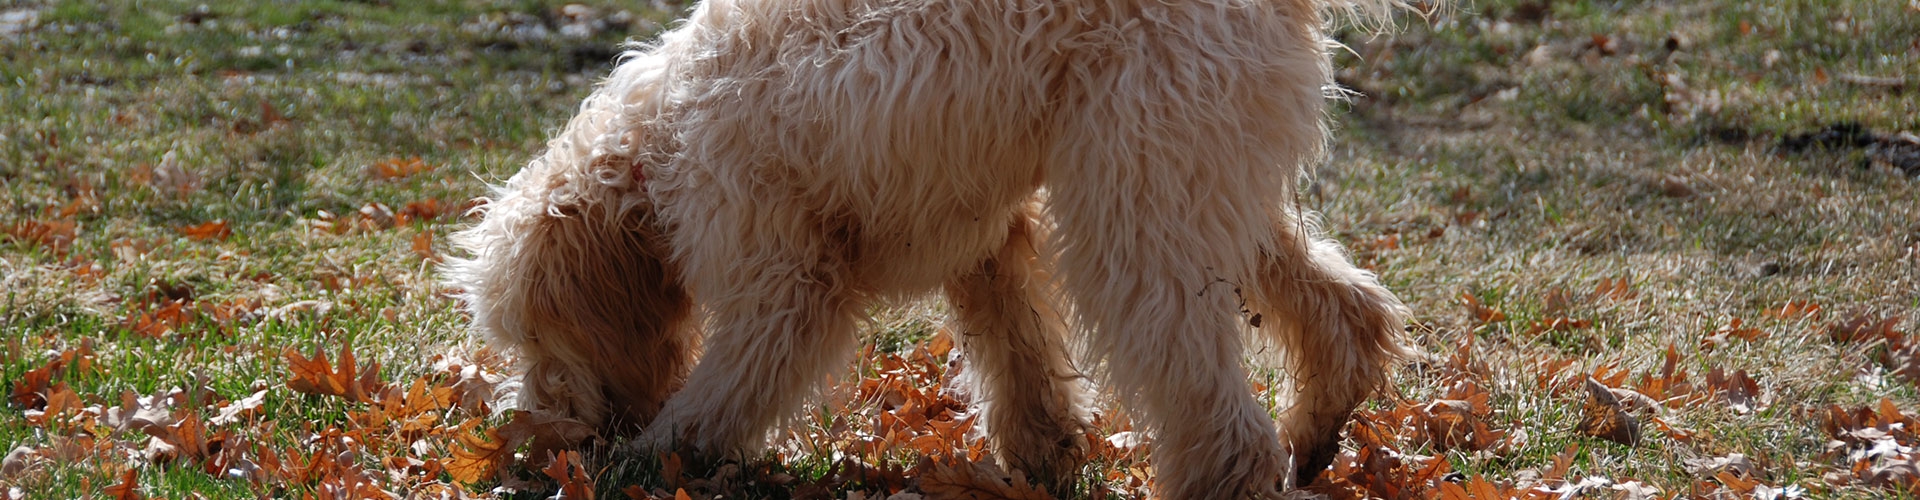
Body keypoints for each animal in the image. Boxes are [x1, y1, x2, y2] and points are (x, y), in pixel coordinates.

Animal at [445, 0, 1413, 496]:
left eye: (536, 339)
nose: (535, 435)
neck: (655, 151)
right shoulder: (985, 237)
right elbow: (1015, 348)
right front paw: (1044, 454)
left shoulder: (785, 279)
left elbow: (731, 384)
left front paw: (654, 459)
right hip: (1183, 176)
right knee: (1341, 304)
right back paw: (1319, 425)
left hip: (1137, 191)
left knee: (1208, 395)